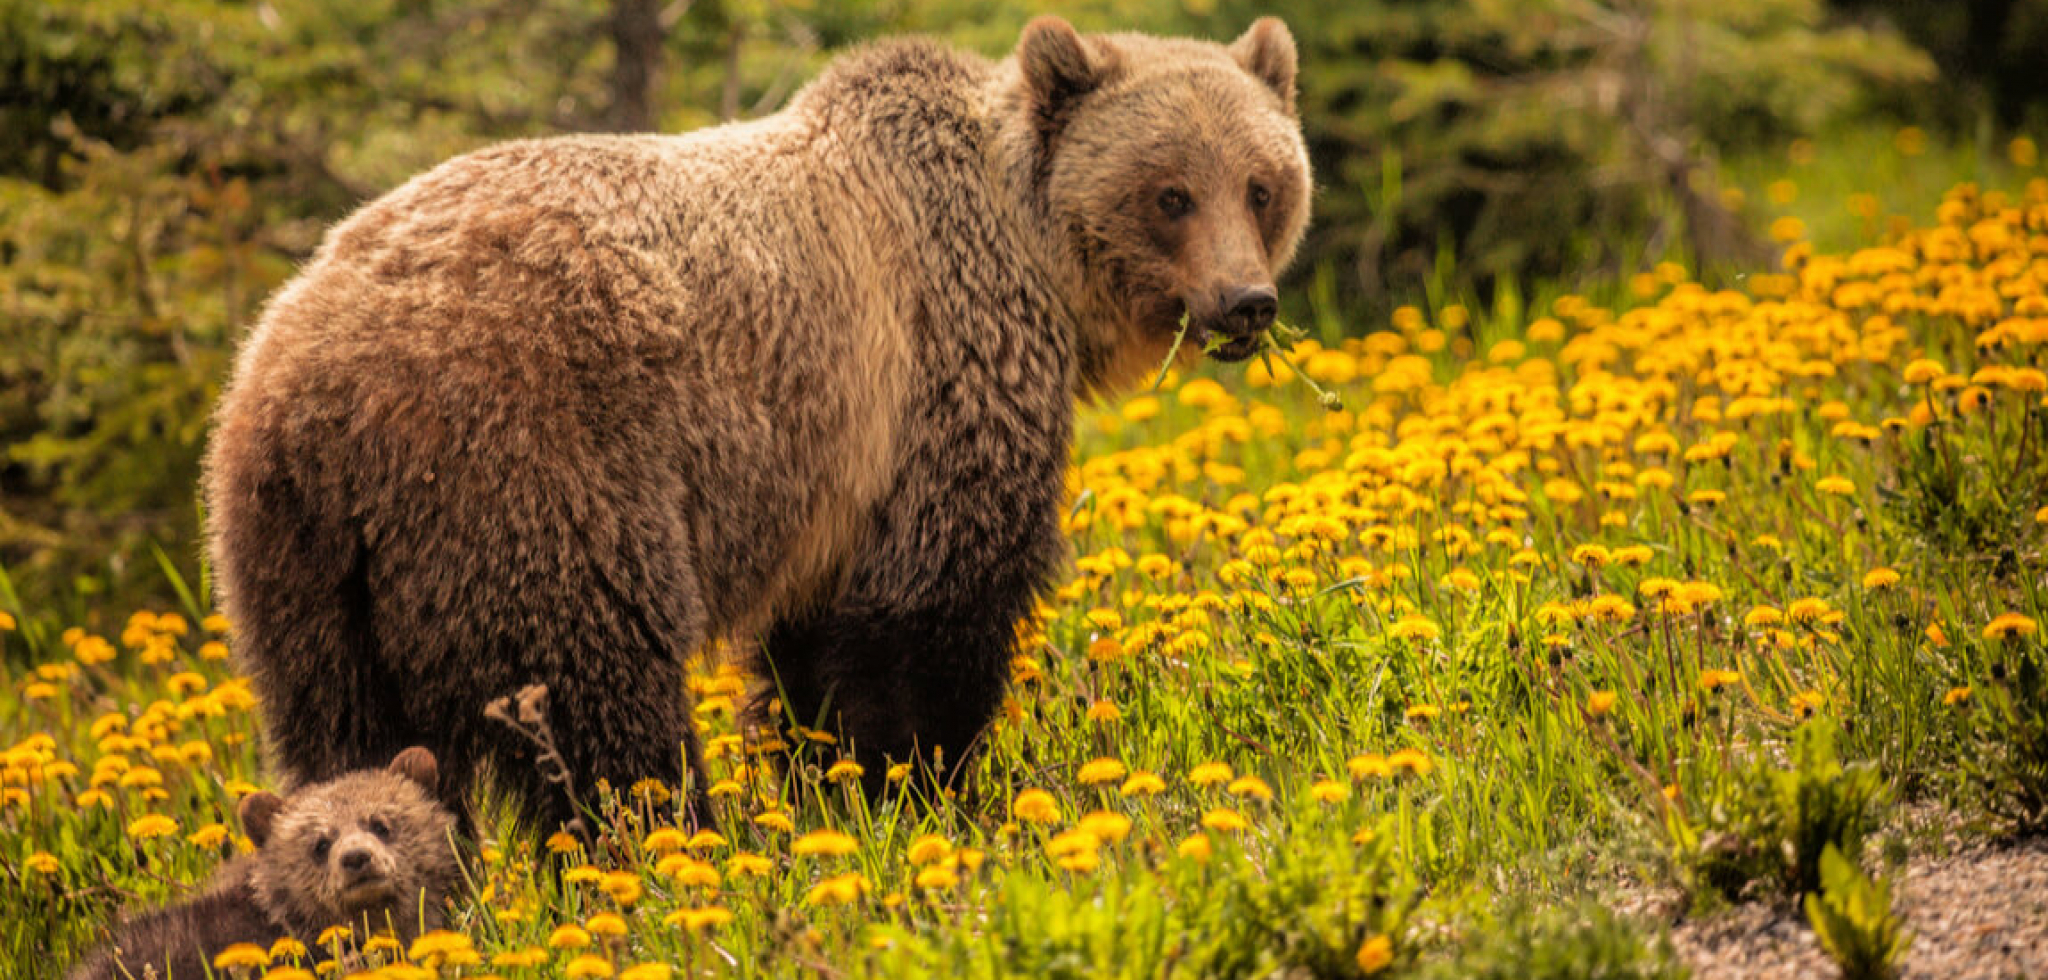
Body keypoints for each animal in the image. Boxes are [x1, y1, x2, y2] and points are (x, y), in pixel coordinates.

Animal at [199, 15, 1302, 830]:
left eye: (1262, 184)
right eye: (1169, 193)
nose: (1245, 303)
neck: (1029, 259)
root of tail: (302, 387)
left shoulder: (835, 479)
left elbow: (814, 653)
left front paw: (832, 791)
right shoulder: (936, 381)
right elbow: (931, 615)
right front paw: (933, 795)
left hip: (302, 574)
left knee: (343, 739)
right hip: (530, 473)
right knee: (598, 696)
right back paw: (666, 842)